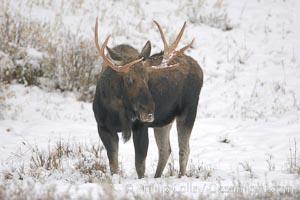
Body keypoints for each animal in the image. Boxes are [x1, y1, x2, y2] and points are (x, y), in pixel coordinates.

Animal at [92, 18, 203, 178]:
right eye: (128, 79)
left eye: (147, 78)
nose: (149, 110)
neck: (117, 111)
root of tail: (199, 68)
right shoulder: (103, 127)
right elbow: (113, 165)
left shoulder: (141, 127)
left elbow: (140, 165)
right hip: (163, 121)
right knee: (165, 149)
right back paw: (157, 176)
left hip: (189, 110)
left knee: (184, 150)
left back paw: (180, 176)